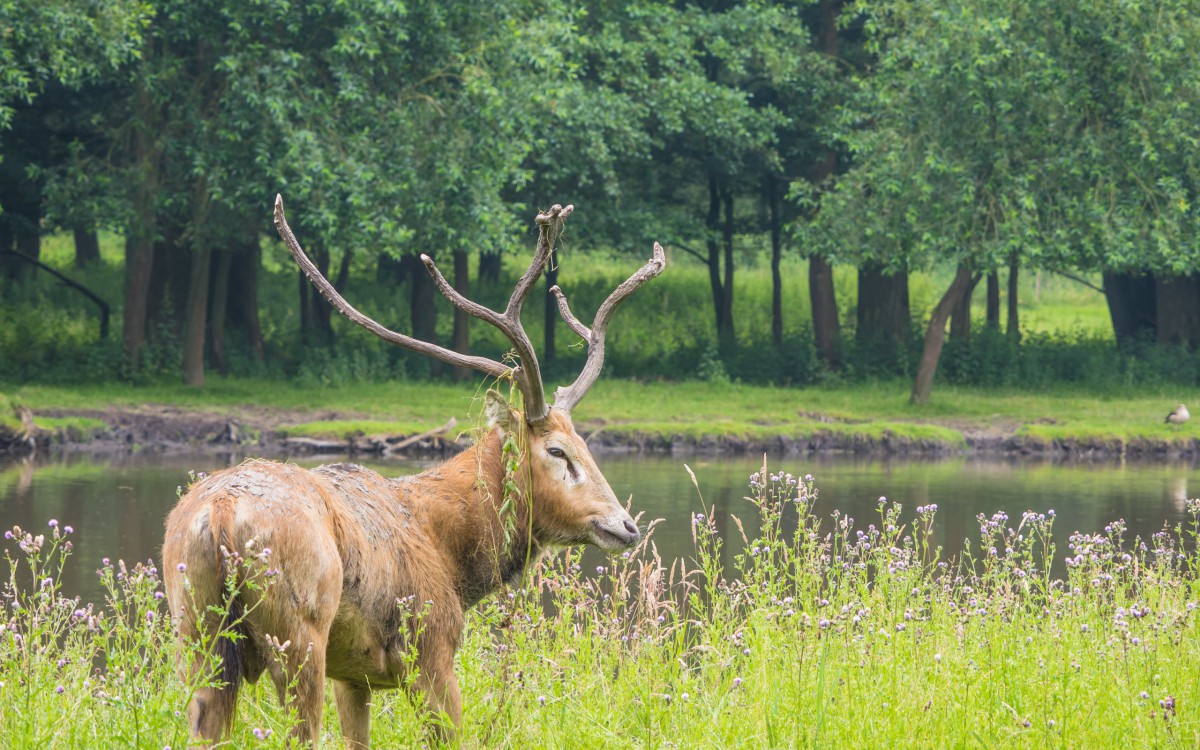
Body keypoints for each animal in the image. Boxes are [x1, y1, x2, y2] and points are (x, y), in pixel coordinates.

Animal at [160, 195, 667, 744]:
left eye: (585, 443)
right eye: (557, 451)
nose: (627, 525)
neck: (452, 556)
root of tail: (220, 515)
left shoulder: (353, 676)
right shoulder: (432, 650)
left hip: (196, 636)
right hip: (299, 634)